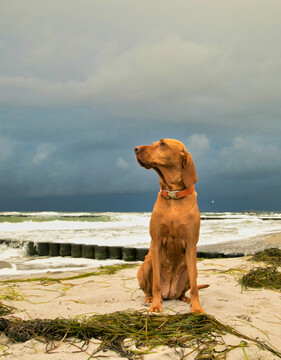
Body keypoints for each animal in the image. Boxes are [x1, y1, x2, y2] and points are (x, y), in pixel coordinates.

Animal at [133, 138, 206, 312]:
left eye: (162, 144)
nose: (135, 148)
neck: (173, 196)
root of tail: (170, 293)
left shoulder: (191, 243)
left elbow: (194, 287)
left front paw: (197, 308)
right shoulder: (157, 241)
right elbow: (156, 284)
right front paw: (155, 306)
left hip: (192, 269)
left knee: (187, 287)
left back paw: (184, 298)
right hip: (146, 265)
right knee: (149, 288)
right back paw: (150, 299)